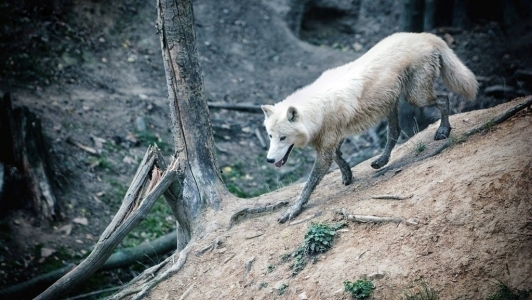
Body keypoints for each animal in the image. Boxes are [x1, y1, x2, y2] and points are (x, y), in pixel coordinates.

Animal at [262, 32, 478, 223]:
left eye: (283, 137)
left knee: (443, 99)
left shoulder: (327, 145)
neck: (318, 110)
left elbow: (308, 185)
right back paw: (381, 161)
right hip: (393, 102)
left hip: (416, 97)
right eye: (270, 136)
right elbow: (338, 156)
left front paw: (293, 210)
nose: (269, 160)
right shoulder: (336, 135)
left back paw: (443, 130)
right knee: (395, 132)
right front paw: (347, 174)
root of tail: (424, 35)